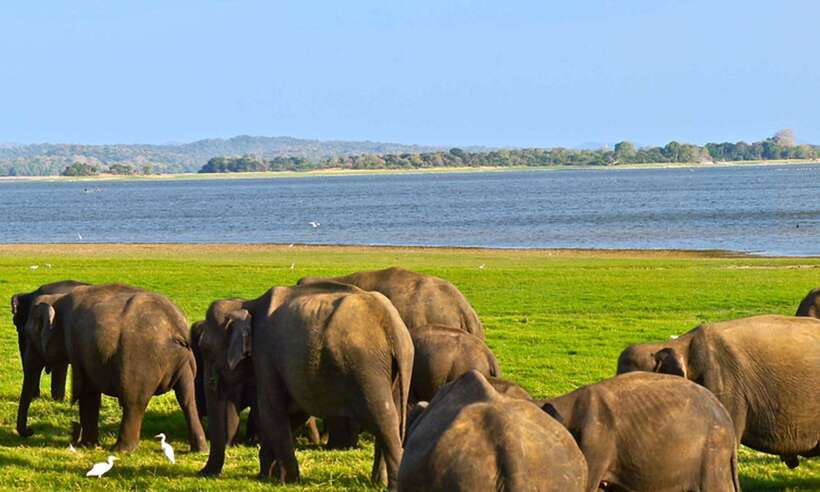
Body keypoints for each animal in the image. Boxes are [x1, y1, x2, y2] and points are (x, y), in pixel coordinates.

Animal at [18, 283, 207, 452]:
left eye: (28, 335)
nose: (30, 431)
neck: (57, 299)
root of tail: (175, 325)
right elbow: (90, 394)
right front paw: (89, 445)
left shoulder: (76, 346)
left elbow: (85, 391)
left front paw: (86, 446)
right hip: (185, 361)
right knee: (187, 398)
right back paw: (200, 449)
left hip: (141, 362)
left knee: (134, 401)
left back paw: (121, 450)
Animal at [197, 281, 413, 490]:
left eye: (206, 349)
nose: (202, 474)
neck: (246, 304)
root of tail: (391, 324)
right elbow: (293, 413)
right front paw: (267, 476)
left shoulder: (265, 355)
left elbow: (272, 412)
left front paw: (287, 481)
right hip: (395, 369)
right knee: (393, 416)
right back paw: (378, 483)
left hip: (366, 366)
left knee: (384, 419)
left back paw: (394, 485)